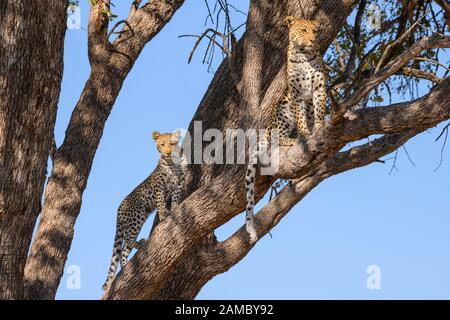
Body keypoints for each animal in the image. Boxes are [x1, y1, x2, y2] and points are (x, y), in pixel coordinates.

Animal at [102, 129, 186, 290]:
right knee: (126, 242)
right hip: (137, 216)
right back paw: (140, 244)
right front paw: (164, 214)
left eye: (172, 144)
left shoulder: (179, 184)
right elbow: (160, 201)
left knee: (123, 251)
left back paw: (126, 267)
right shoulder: (158, 185)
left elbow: (175, 197)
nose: (167, 152)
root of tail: (119, 209)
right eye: (162, 144)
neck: (172, 163)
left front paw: (175, 207)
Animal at [244, 16, 326, 242]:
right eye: (304, 30)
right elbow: (301, 118)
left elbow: (318, 111)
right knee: (277, 137)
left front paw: (319, 126)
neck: (304, 56)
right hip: (282, 108)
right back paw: (292, 139)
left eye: (316, 30)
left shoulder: (319, 88)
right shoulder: (296, 94)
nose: (313, 39)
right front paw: (306, 136)